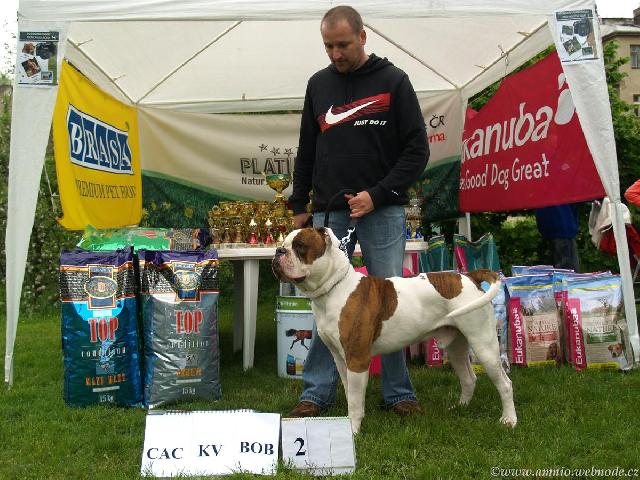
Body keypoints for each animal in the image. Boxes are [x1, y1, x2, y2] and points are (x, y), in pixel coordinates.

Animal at [272, 227, 517, 434]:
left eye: (300, 246)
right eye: (283, 243)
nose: (278, 251)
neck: (334, 288)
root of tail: (469, 277)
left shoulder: (357, 360)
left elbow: (355, 401)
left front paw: (353, 431)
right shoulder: (341, 360)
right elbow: (350, 394)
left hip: (484, 345)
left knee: (505, 384)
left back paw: (509, 420)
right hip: (456, 345)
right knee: (468, 378)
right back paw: (460, 408)